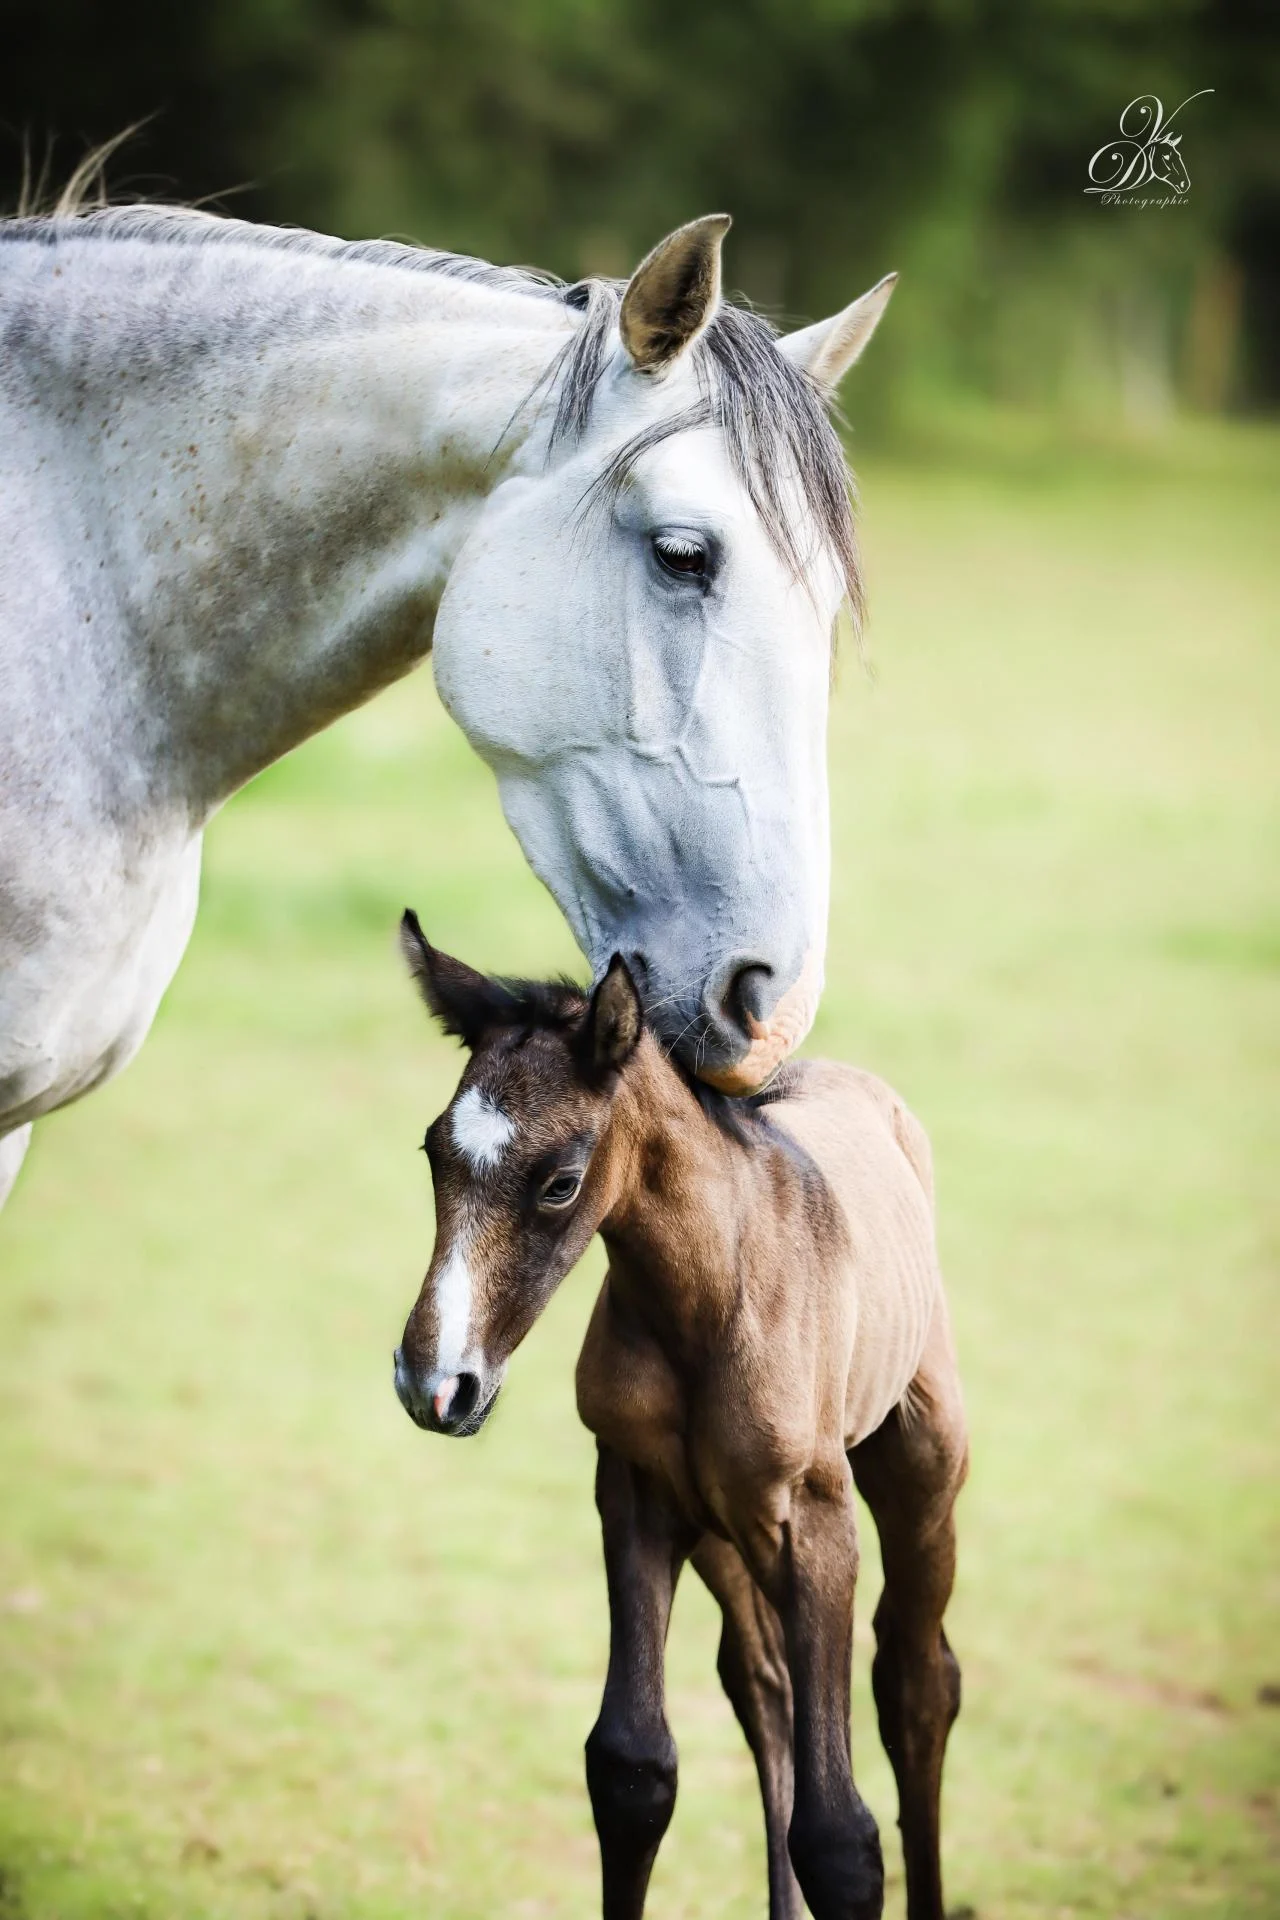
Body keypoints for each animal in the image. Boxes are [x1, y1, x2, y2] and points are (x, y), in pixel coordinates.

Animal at [392, 914, 968, 1920]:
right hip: (724, 1531)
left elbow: (842, 1838)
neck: (708, 1300)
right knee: (765, 1684)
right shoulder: (636, 1491)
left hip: (918, 1472)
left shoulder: (818, 1522)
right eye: (433, 1153)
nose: (435, 1383)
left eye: (560, 1181)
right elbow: (633, 1769)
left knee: (917, 1683)